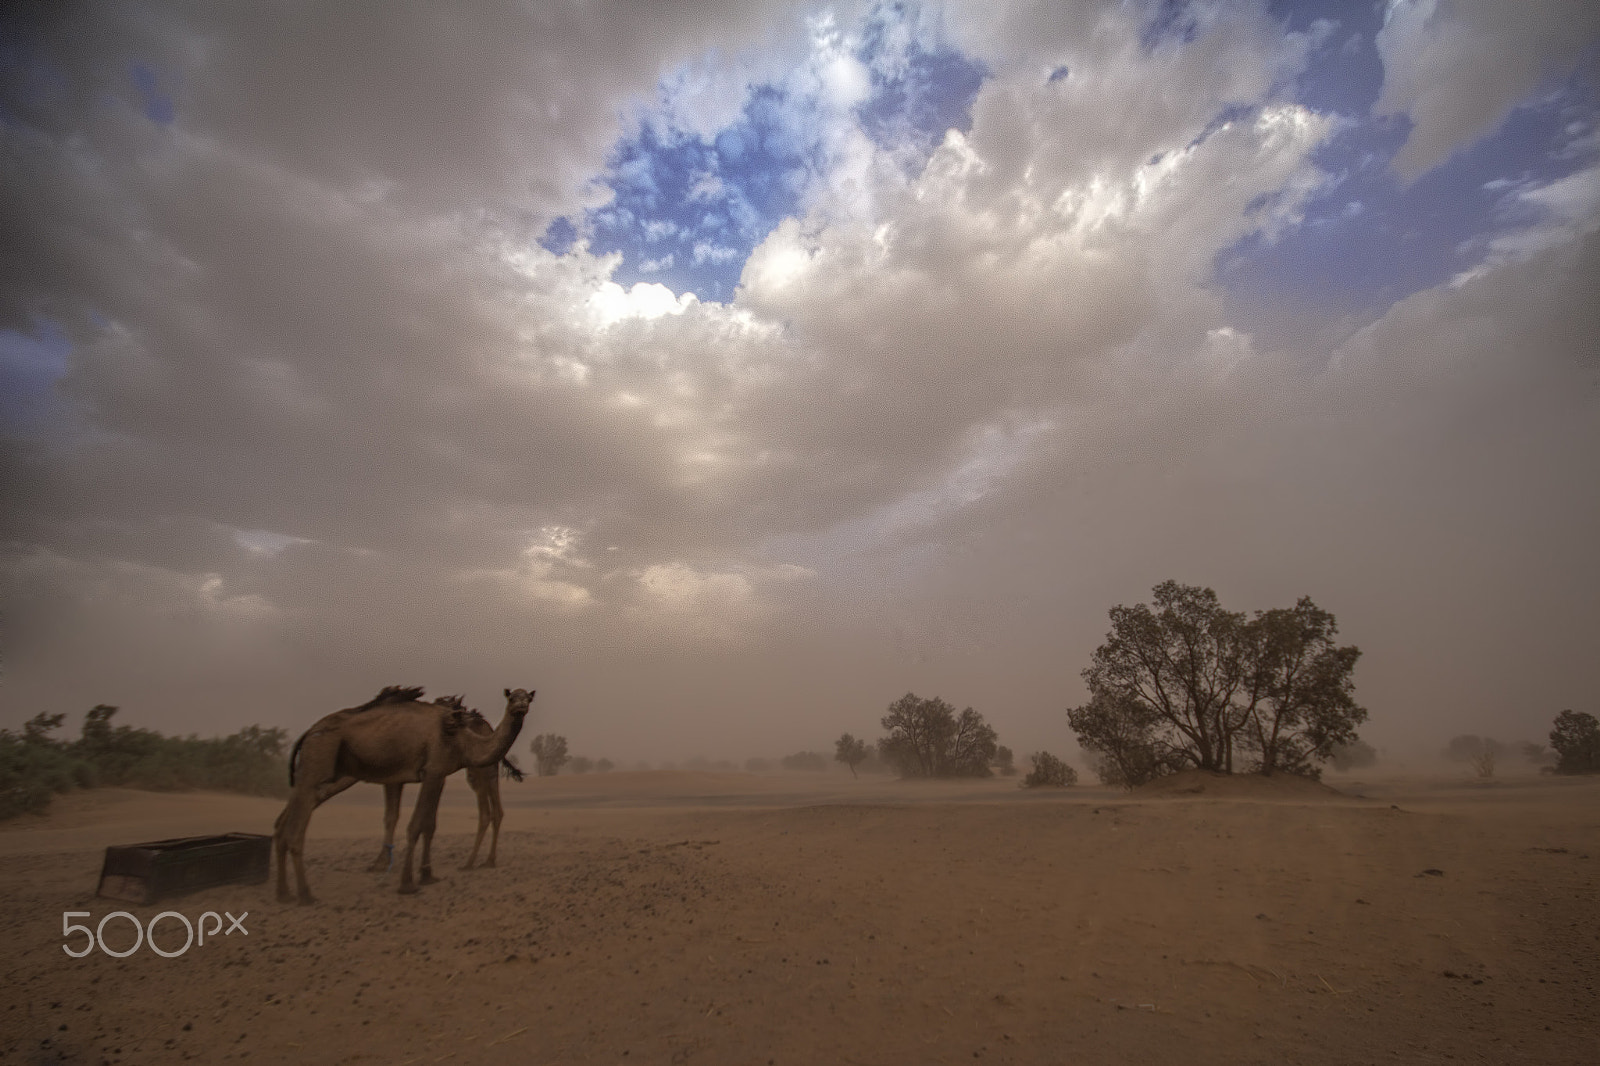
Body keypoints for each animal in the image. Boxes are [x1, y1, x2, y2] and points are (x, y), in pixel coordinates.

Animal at [270, 685, 531, 902]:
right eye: (513, 698)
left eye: (527, 698)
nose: (521, 707)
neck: (462, 736)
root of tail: (309, 732)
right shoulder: (433, 771)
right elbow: (415, 824)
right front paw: (407, 883)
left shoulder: (433, 773)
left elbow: (426, 824)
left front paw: (426, 874)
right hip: (319, 762)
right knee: (294, 826)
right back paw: (304, 893)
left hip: (320, 773)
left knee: (286, 820)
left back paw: (284, 892)